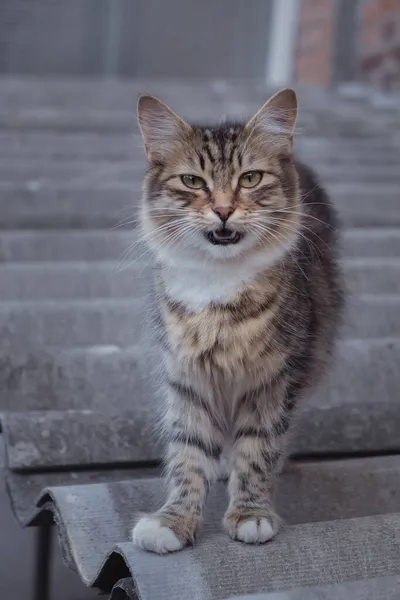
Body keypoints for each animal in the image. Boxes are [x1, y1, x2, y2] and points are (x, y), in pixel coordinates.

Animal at [133, 88, 342, 552]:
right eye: (193, 182)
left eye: (250, 179)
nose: (225, 210)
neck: (218, 285)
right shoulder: (187, 378)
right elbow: (188, 454)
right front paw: (174, 520)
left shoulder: (274, 379)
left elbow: (258, 450)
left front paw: (250, 514)